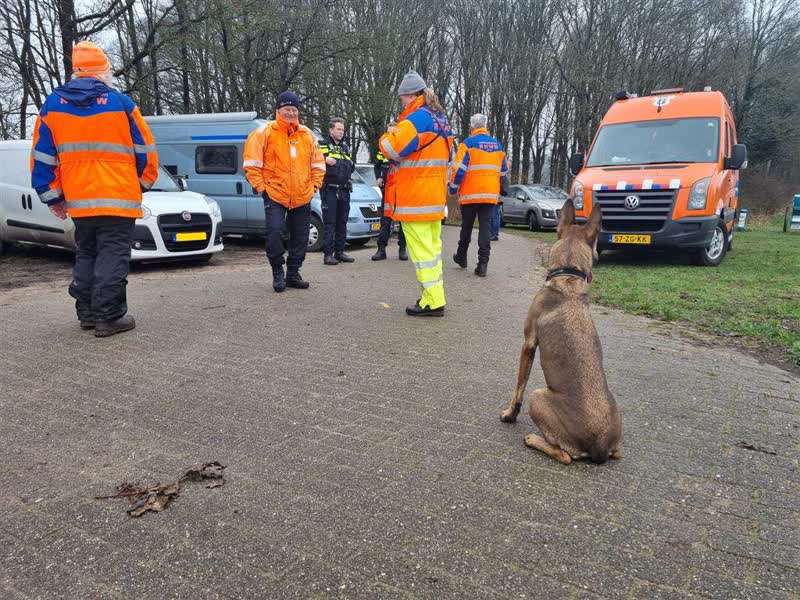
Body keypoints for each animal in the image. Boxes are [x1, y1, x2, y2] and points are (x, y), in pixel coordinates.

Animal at [500, 200, 624, 464]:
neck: (568, 277)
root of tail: (599, 447)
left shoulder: (528, 344)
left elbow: (518, 388)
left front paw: (509, 414)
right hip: (618, 412)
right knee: (617, 453)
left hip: (537, 396)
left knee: (564, 455)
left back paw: (532, 439)